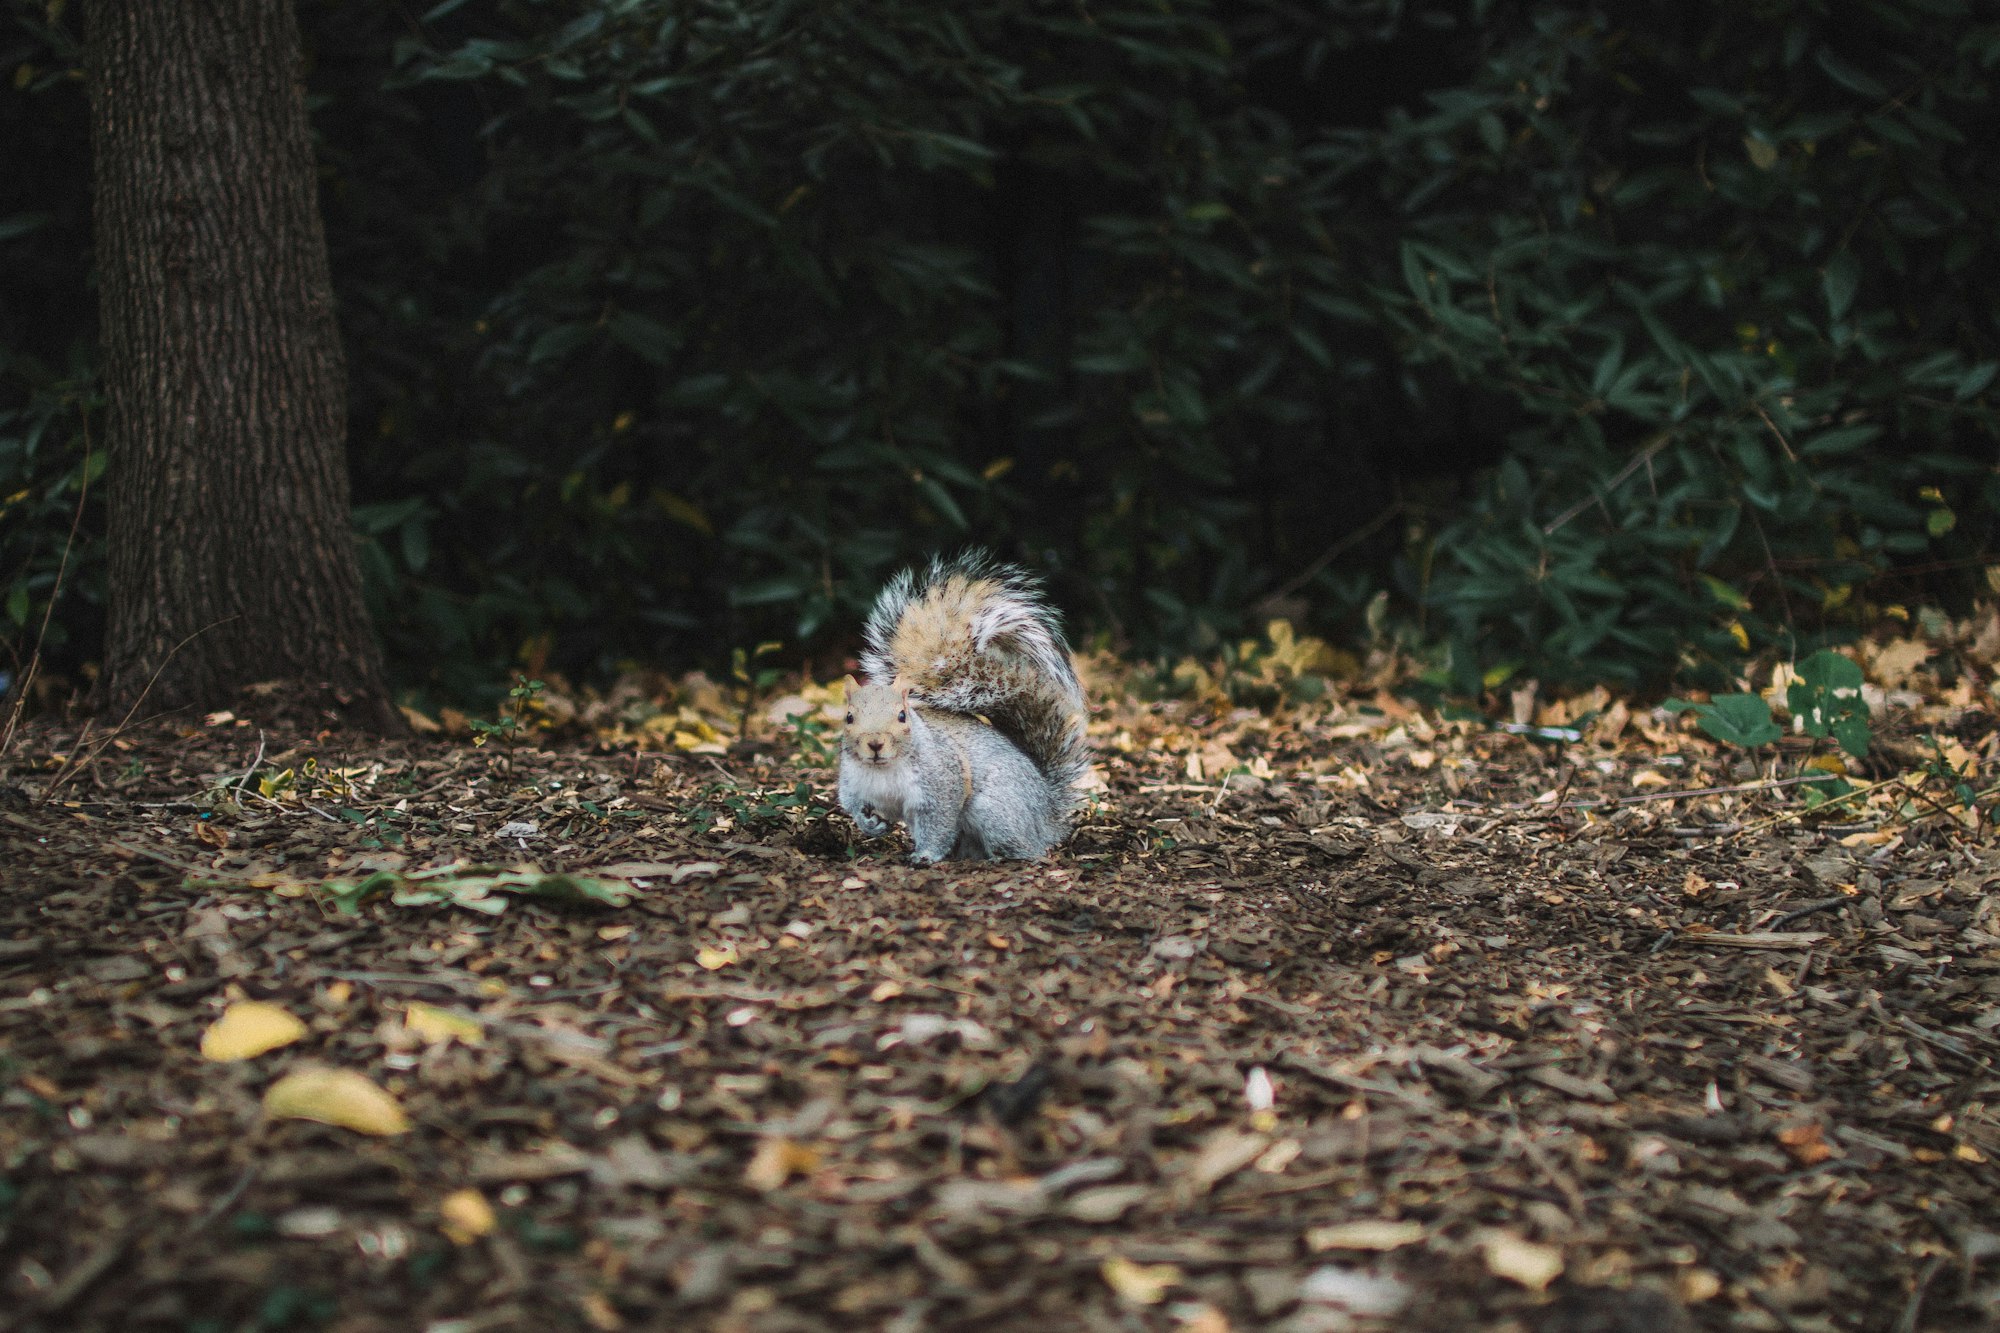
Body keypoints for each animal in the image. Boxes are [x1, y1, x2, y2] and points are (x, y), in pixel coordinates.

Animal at [832, 548, 1088, 860]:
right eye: (849, 717)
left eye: (903, 716)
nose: (875, 744)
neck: (883, 769)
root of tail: (1047, 813)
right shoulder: (853, 783)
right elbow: (853, 806)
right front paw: (870, 825)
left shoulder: (943, 781)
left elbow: (939, 823)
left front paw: (926, 855)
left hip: (996, 812)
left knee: (1027, 849)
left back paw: (1002, 856)